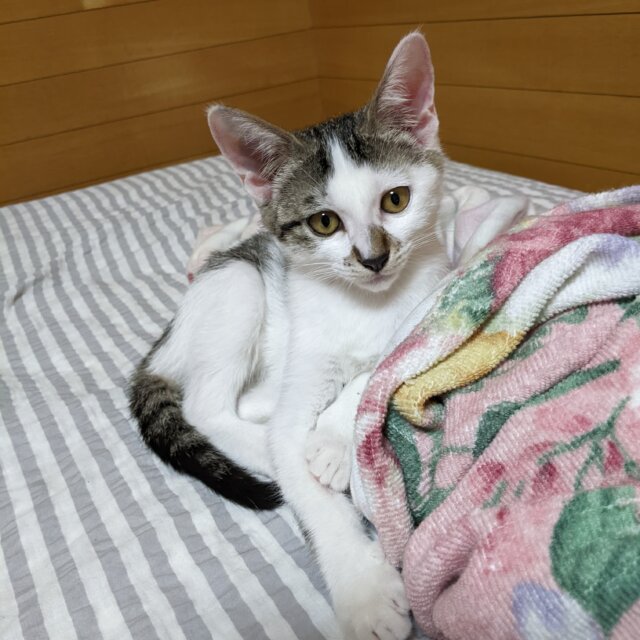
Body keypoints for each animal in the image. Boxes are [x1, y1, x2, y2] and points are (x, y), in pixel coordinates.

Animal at [129, 32, 448, 640]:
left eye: (396, 200)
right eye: (324, 222)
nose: (374, 259)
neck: (367, 304)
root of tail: (164, 343)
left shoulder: (431, 308)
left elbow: (381, 369)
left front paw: (334, 439)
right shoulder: (308, 353)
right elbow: (310, 485)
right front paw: (364, 593)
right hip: (237, 286)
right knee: (211, 408)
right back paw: (272, 451)